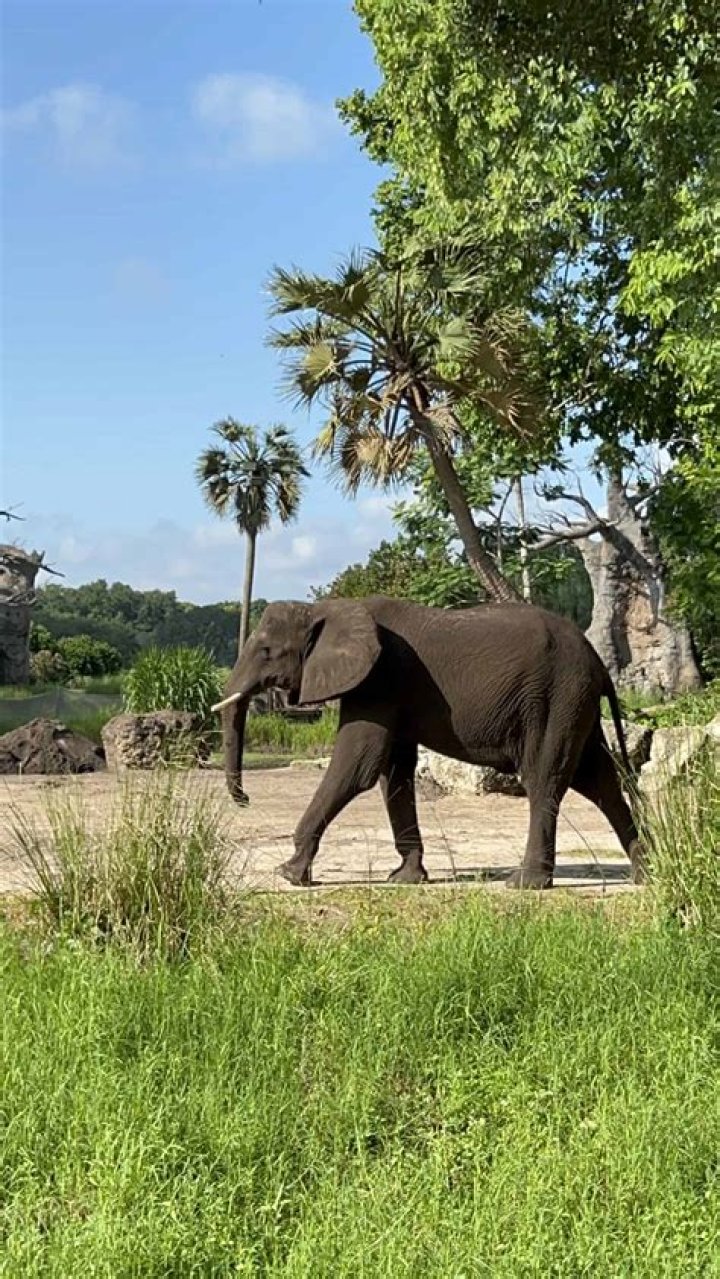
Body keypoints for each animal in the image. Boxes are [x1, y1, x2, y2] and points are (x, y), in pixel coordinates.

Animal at [212, 596, 646, 890]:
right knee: (600, 781)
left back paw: (524, 884)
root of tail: (597, 661)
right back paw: (647, 873)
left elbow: (358, 765)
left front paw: (288, 874)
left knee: (545, 779)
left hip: (555, 698)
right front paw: (404, 879)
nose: (245, 800)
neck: (326, 609)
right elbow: (393, 774)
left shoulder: (377, 681)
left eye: (267, 651)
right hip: (574, 702)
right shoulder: (390, 692)